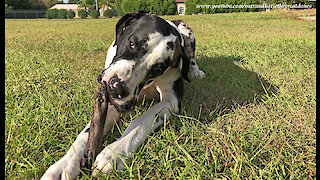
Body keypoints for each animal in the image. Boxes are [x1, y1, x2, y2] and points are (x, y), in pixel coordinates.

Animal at [40, 10, 205, 179]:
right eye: (132, 43)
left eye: (158, 68)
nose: (117, 87)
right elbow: (85, 133)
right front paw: (64, 164)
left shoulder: (171, 100)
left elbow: (141, 121)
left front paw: (113, 154)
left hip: (187, 31)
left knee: (191, 58)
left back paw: (196, 71)